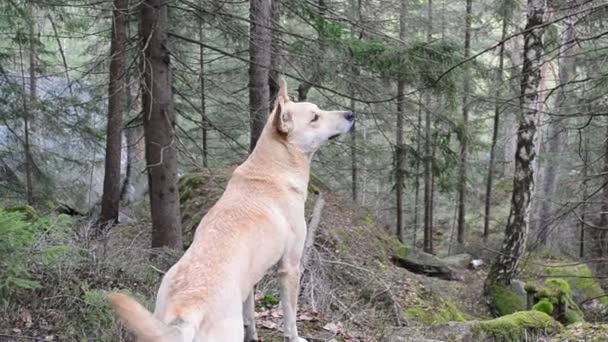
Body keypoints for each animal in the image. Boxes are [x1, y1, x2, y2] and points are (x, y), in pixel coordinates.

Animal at [108, 79, 354, 342]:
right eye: (315, 117)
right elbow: (290, 315)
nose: (351, 114)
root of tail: (186, 309)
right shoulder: (289, 267)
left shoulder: (251, 279)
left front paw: (253, 335)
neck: (272, 168)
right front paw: (294, 337)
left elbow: (250, 314)